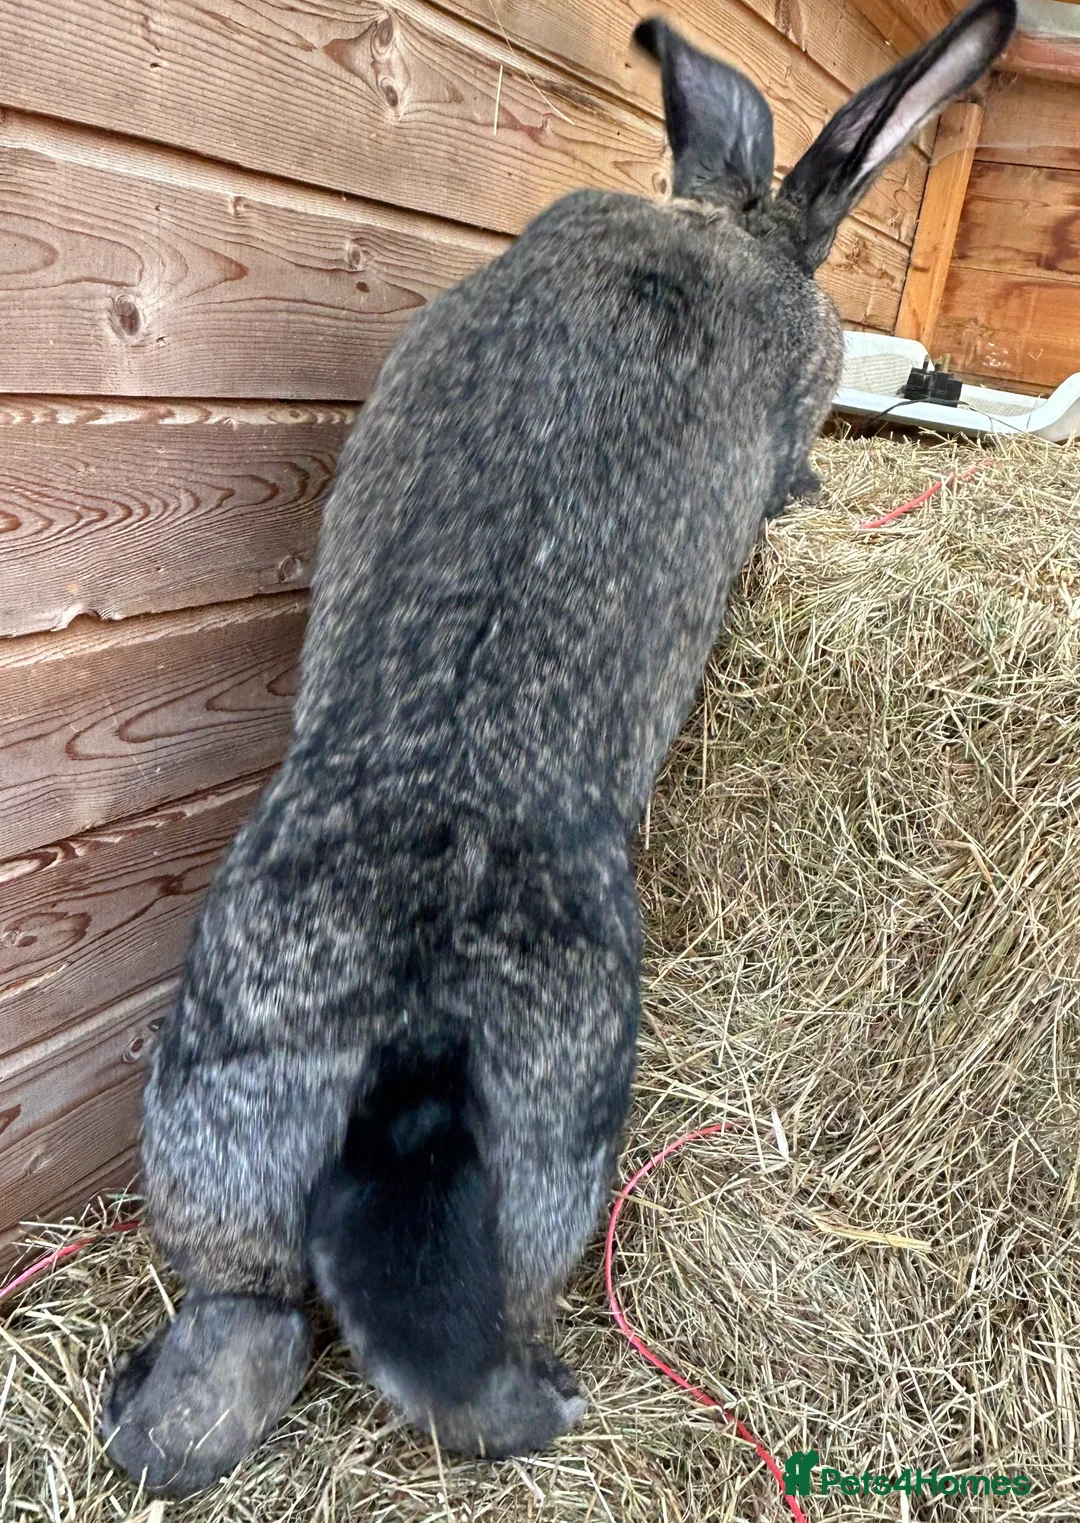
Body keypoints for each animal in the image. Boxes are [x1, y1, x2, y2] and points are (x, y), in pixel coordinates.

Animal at [101, 0, 1016, 1496]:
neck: (726, 226)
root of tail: (411, 1039)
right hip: (559, 1148)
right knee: (463, 1372)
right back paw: (555, 1399)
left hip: (221, 1126)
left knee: (235, 1343)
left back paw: (142, 1407)